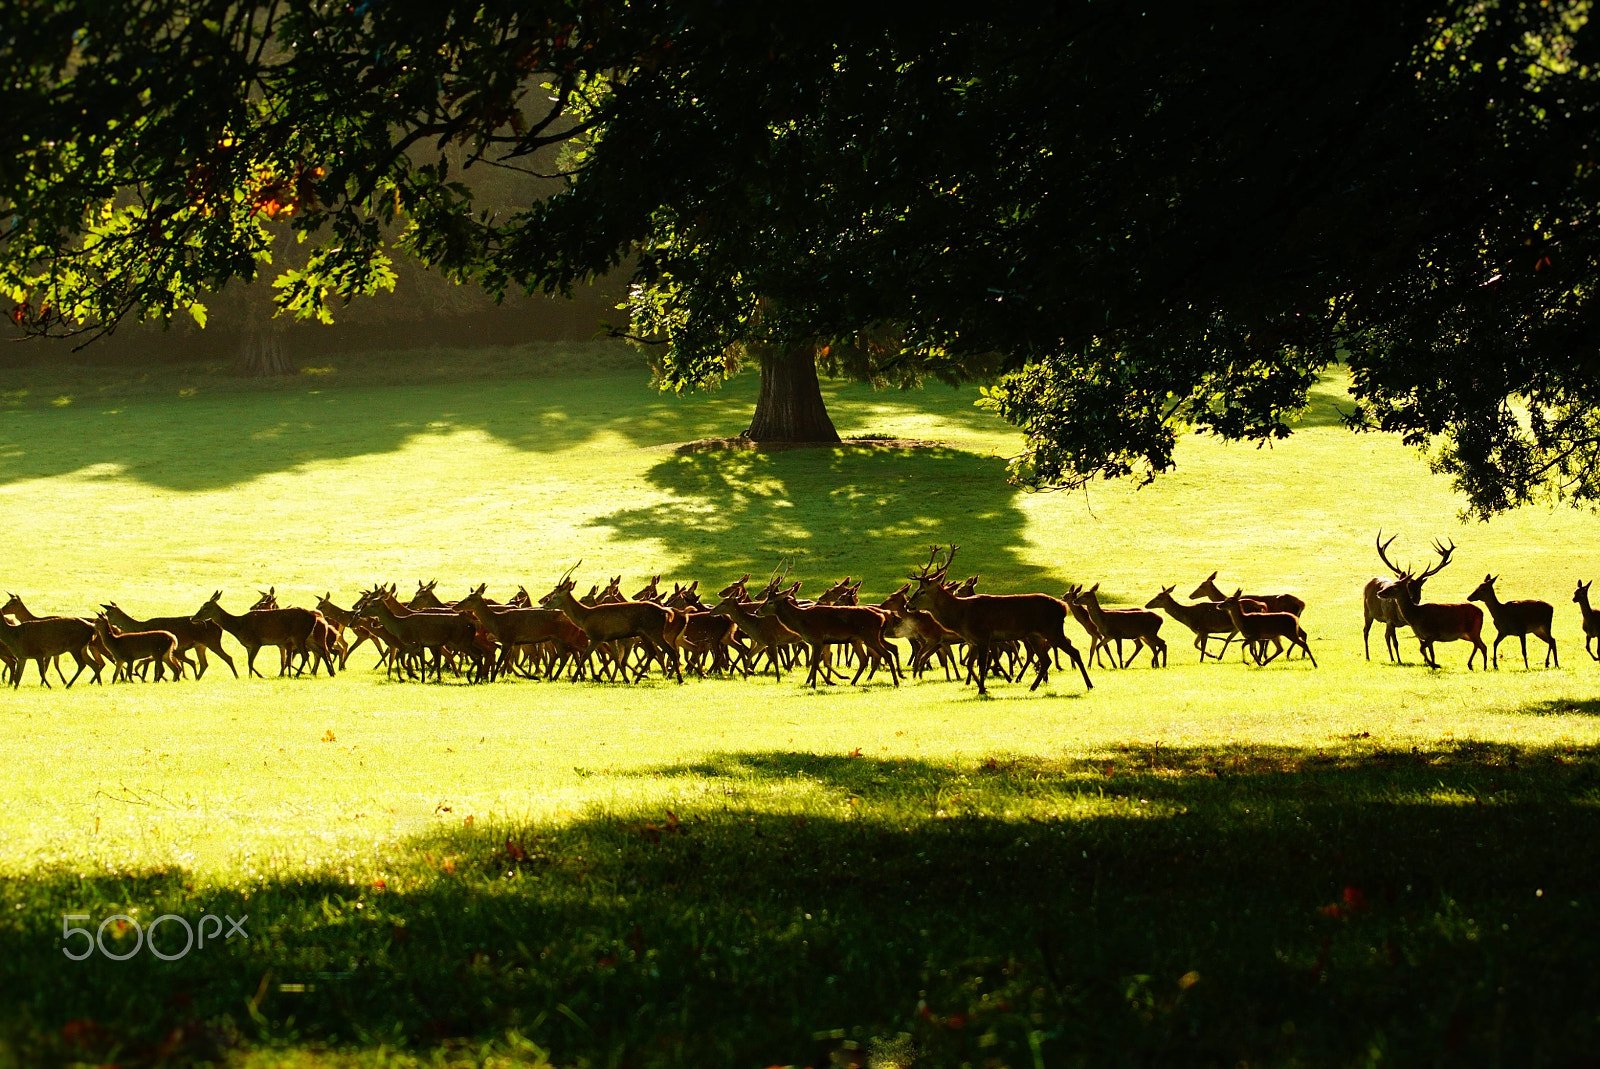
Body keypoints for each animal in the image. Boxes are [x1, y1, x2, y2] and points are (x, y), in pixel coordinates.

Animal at [191, 591, 323, 679]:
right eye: (201, 606)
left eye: (206, 607)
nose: (193, 618)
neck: (239, 627)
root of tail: (314, 618)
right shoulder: (248, 646)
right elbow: (249, 663)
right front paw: (250, 677)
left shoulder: (256, 642)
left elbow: (250, 663)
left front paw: (262, 676)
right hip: (303, 637)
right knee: (315, 652)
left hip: (299, 635)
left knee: (306, 655)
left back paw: (297, 675)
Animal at [907, 545, 1091, 695]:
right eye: (917, 588)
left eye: (922, 591)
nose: (908, 604)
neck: (961, 615)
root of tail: (1063, 607)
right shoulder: (973, 641)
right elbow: (970, 664)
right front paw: (981, 687)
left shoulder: (983, 635)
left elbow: (981, 664)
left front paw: (982, 689)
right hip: (1035, 635)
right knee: (1046, 660)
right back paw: (1032, 687)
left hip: (1052, 629)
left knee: (1073, 651)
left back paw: (1089, 685)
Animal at [1374, 541, 1487, 669]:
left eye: (1395, 586)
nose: (1379, 592)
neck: (1416, 615)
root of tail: (1481, 612)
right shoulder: (1427, 637)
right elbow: (1429, 651)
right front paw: (1433, 665)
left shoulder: (1433, 634)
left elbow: (1422, 649)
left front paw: (1435, 664)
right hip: (1467, 634)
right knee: (1479, 645)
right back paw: (1473, 665)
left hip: (1473, 630)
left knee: (1482, 646)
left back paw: (1483, 666)